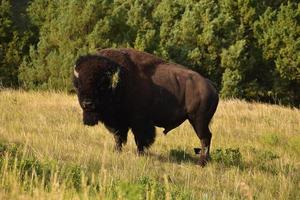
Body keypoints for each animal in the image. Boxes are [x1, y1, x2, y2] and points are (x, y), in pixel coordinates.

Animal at [72, 48, 218, 166]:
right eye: (79, 84)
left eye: (101, 84)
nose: (87, 104)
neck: (119, 80)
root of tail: (211, 86)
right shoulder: (118, 122)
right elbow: (118, 137)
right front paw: (116, 151)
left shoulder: (140, 122)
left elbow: (140, 140)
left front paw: (139, 154)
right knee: (207, 137)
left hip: (198, 120)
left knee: (205, 138)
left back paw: (201, 163)